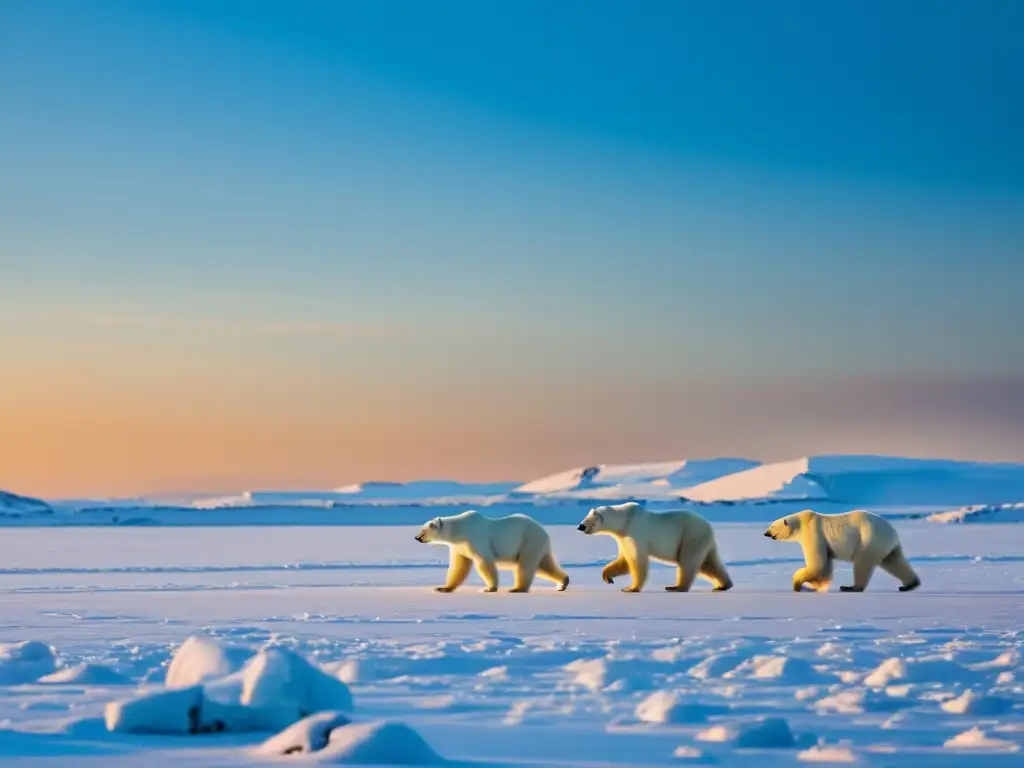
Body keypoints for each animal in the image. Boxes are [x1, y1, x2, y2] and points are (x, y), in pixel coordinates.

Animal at [413, 512, 573, 593]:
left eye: (423, 531)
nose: (416, 537)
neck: (459, 530)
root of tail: (544, 532)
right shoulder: (459, 547)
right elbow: (459, 566)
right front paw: (442, 587)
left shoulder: (475, 538)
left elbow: (484, 561)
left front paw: (489, 588)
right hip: (537, 545)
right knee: (543, 565)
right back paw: (563, 583)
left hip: (529, 541)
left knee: (525, 565)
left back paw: (517, 588)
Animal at [573, 505, 733, 593]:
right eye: (584, 517)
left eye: (588, 520)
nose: (580, 526)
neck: (625, 519)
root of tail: (709, 526)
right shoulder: (623, 537)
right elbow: (624, 560)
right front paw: (607, 577)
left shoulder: (635, 532)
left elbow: (637, 560)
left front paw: (631, 588)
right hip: (702, 540)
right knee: (708, 564)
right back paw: (723, 585)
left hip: (690, 535)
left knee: (688, 562)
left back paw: (675, 587)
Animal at [765, 512, 925, 593]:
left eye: (771, 526)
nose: (765, 533)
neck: (803, 521)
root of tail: (893, 531)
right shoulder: (824, 543)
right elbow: (825, 565)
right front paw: (814, 585)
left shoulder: (813, 532)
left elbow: (817, 562)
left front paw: (798, 584)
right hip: (885, 544)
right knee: (894, 561)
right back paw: (909, 585)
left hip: (869, 538)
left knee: (862, 563)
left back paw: (851, 587)